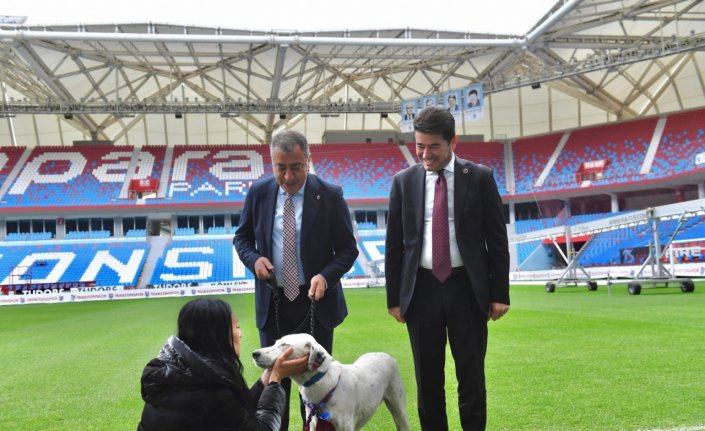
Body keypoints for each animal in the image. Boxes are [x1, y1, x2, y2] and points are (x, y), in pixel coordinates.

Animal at [252, 334, 410, 431]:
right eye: (275, 342)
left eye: (284, 345)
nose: (254, 353)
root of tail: (387, 356)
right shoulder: (313, 425)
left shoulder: (345, 426)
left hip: (399, 410)